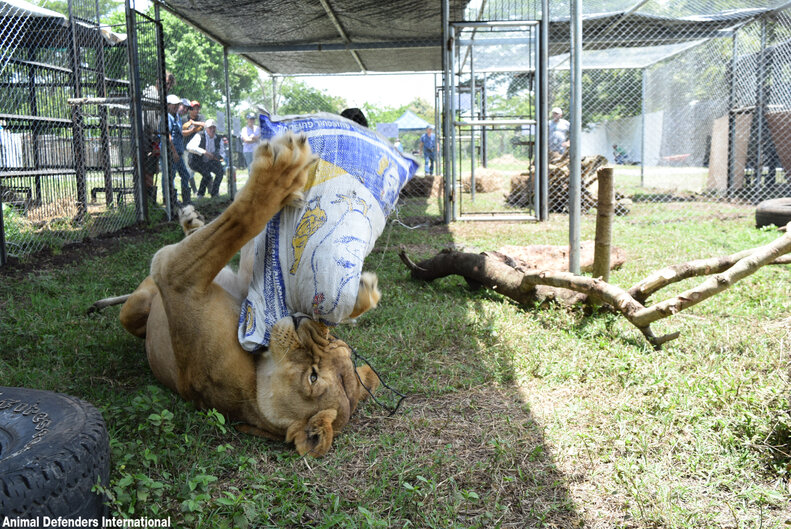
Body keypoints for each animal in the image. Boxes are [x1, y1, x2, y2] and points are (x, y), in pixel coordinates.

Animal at [116, 132, 381, 457]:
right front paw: (362, 295)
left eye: (313, 376)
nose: (305, 323)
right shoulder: (244, 288)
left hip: (136, 306)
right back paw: (192, 218)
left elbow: (244, 219)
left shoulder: (175, 275)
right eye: (337, 345)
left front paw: (281, 172)